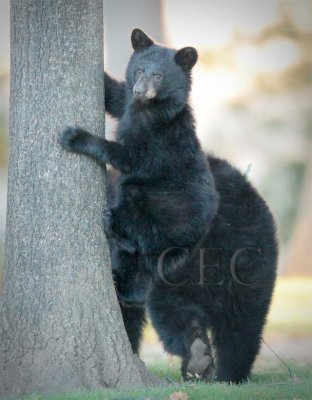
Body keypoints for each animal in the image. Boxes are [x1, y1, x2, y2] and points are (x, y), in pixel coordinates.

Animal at [59, 28, 278, 384]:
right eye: (139, 70)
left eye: (158, 75)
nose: (140, 89)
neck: (147, 110)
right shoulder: (127, 102)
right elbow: (116, 94)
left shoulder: (154, 143)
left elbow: (125, 155)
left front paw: (74, 136)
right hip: (251, 269)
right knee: (240, 324)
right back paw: (220, 368)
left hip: (164, 218)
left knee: (148, 272)